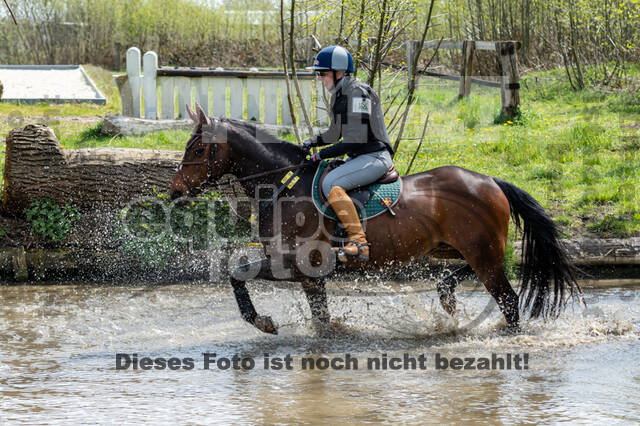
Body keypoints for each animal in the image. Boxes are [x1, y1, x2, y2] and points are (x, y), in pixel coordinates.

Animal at [169, 104, 580, 336]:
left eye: (197, 149)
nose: (174, 192)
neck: (284, 185)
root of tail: (490, 180)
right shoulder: (311, 277)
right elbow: (320, 319)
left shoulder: (293, 264)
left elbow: (236, 276)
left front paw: (263, 323)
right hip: (456, 248)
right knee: (470, 271)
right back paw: (446, 292)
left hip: (482, 252)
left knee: (508, 300)